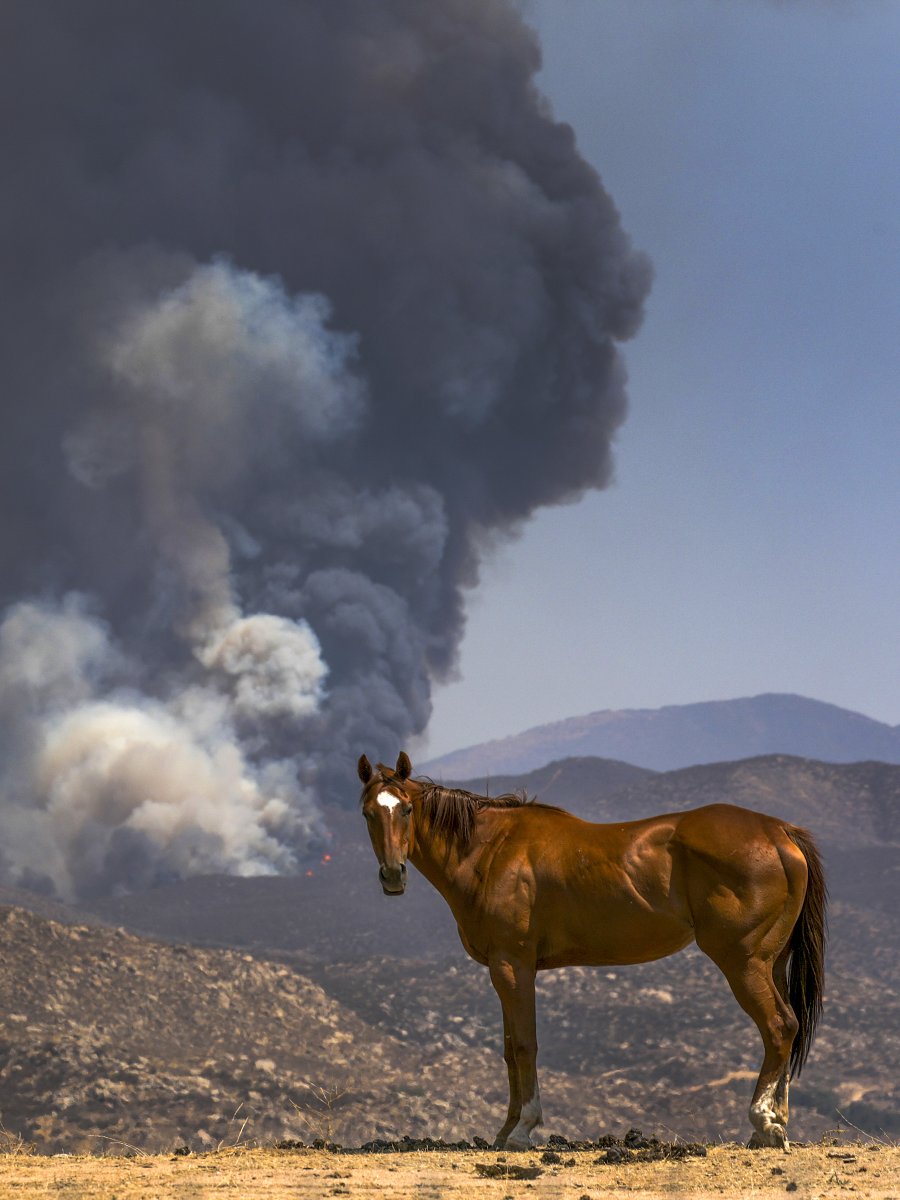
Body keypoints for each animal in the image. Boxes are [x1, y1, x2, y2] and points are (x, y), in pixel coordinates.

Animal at [357, 751, 826, 1151]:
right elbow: (509, 1050)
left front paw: (523, 1129)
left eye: (406, 809)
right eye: (368, 813)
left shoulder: (513, 965)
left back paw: (763, 1122)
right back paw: (775, 1123)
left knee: (779, 1026)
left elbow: (524, 1044)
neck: (491, 851)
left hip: (743, 962)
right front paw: (505, 1130)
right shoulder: (504, 968)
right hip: (772, 962)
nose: (393, 875)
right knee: (788, 1026)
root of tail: (778, 833)